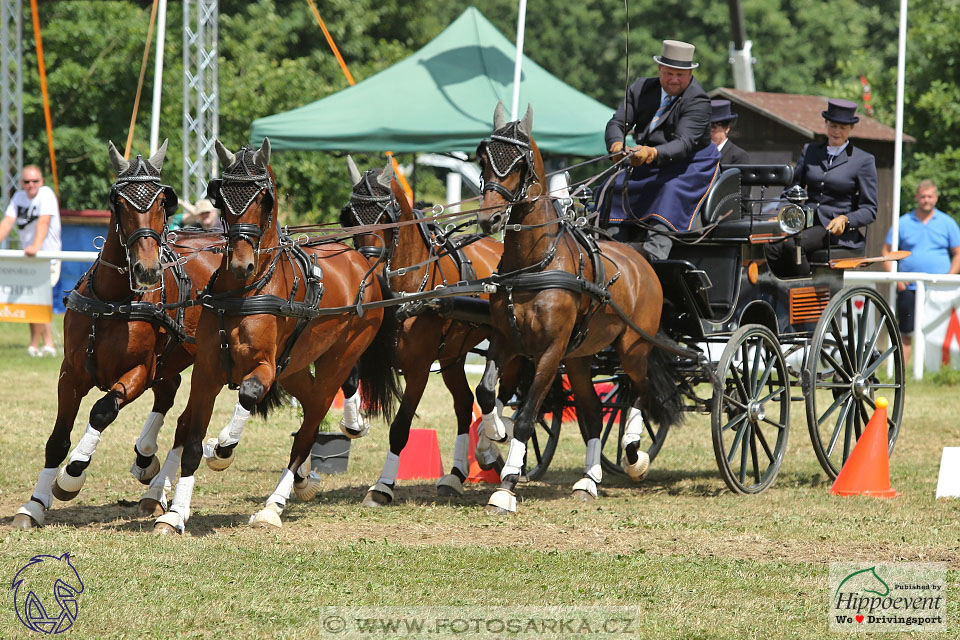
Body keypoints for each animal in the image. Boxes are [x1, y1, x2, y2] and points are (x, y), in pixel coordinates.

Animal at [14, 142, 224, 528]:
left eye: (162, 202)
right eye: (120, 203)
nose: (147, 270)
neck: (113, 300)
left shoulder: (139, 371)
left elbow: (101, 411)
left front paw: (72, 475)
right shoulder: (70, 374)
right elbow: (57, 439)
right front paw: (34, 504)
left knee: (184, 420)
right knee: (169, 395)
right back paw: (148, 467)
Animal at [154, 140, 402, 536]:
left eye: (265, 199)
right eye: (222, 197)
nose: (241, 264)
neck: (246, 291)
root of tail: (362, 263)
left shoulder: (265, 367)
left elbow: (248, 394)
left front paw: (223, 447)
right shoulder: (207, 372)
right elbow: (191, 441)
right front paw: (175, 514)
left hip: (337, 359)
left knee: (311, 424)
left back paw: (274, 504)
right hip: (295, 367)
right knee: (310, 405)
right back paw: (303, 479)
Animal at [342, 159, 512, 504]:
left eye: (385, 217)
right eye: (350, 218)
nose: (364, 268)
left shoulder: (419, 369)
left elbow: (400, 427)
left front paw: (383, 486)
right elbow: (349, 379)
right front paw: (354, 423)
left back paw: (496, 439)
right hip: (452, 354)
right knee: (464, 404)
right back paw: (458, 473)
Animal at [472, 104, 684, 516]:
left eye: (520, 163)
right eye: (484, 160)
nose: (490, 219)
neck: (534, 263)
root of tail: (643, 262)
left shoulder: (550, 352)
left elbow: (527, 418)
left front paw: (506, 486)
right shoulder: (507, 340)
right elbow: (487, 392)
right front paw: (494, 435)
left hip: (632, 348)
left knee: (640, 390)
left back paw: (634, 454)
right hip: (581, 358)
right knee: (594, 413)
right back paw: (588, 479)